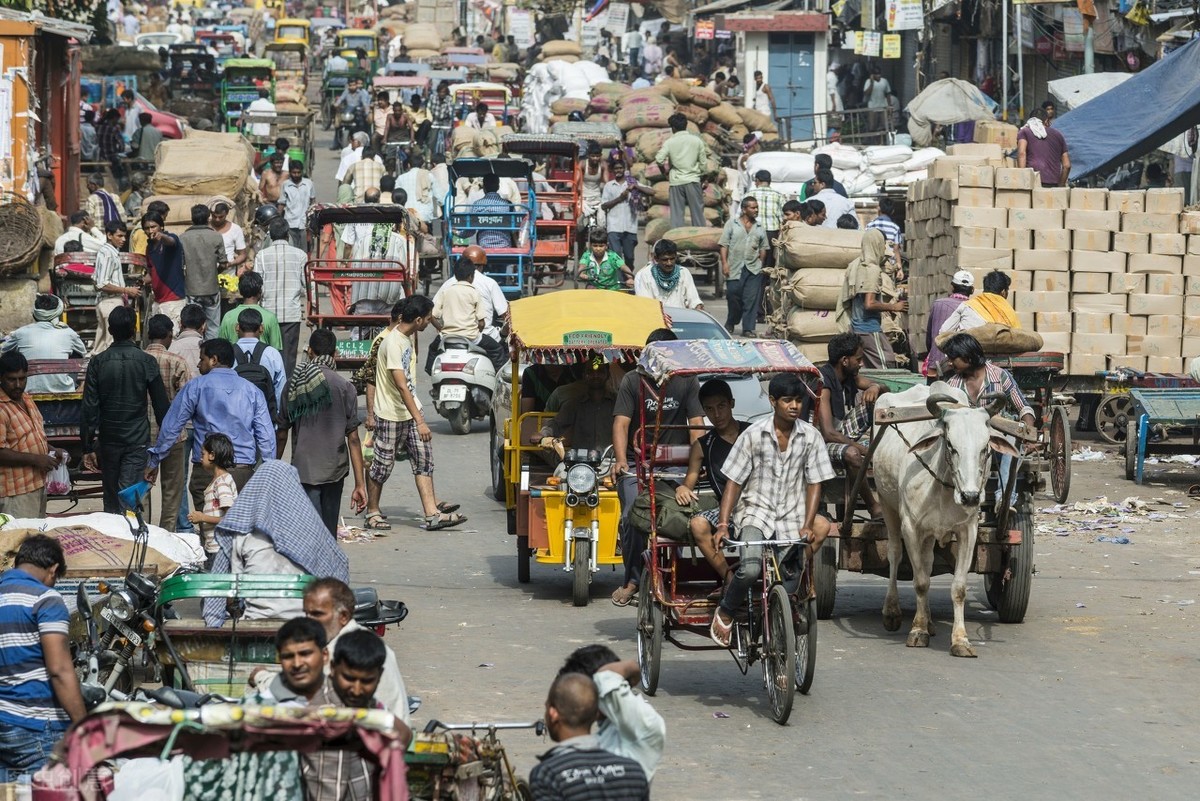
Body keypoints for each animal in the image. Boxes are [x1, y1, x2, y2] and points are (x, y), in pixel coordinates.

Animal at [868, 381, 1017, 657]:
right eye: (950, 445)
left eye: (985, 448)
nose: (971, 496)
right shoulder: (912, 528)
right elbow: (920, 582)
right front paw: (917, 631)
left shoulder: (967, 531)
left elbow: (957, 588)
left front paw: (960, 640)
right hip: (886, 503)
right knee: (895, 554)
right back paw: (892, 611)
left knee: (926, 562)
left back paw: (929, 621)